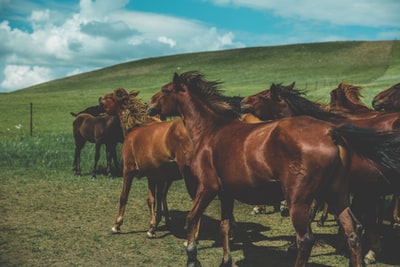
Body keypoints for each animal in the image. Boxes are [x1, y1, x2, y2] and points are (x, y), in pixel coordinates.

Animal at [148, 71, 400, 267]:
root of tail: (332, 132)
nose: (150, 106)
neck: (211, 130)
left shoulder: (207, 187)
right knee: (353, 229)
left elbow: (191, 219)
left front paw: (192, 257)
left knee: (305, 239)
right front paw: (225, 260)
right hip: (336, 194)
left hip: (298, 200)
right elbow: (225, 226)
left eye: (165, 90)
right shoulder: (226, 192)